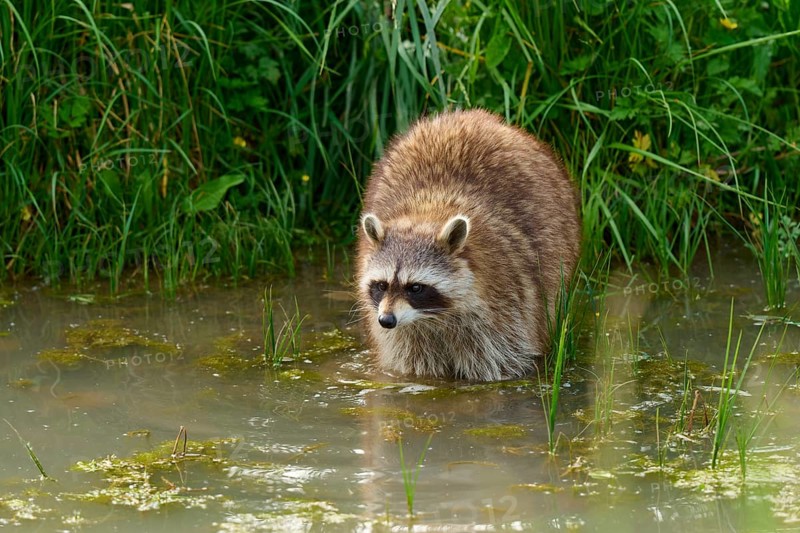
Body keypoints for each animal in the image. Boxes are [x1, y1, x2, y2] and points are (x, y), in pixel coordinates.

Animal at [356, 109, 580, 381]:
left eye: (416, 287)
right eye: (381, 285)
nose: (386, 320)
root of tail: (472, 115)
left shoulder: (503, 302)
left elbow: (499, 361)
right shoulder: (404, 331)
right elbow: (413, 365)